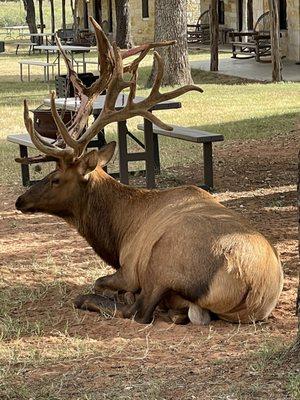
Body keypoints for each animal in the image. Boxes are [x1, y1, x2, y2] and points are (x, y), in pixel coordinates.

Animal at [15, 18, 284, 324]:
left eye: (55, 178)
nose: (20, 201)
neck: (116, 233)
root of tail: (253, 288)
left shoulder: (130, 267)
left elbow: (101, 281)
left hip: (162, 262)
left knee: (140, 311)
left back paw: (94, 300)